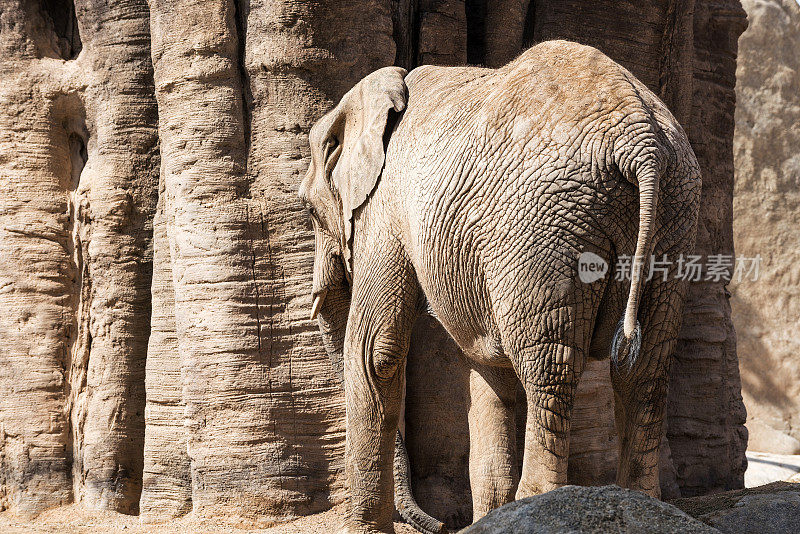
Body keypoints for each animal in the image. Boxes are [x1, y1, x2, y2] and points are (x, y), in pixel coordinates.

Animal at [300, 38, 700, 534]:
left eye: (309, 210)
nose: (441, 526)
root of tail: (639, 138)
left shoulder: (385, 205)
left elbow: (376, 352)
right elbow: (489, 367)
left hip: (545, 227)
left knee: (551, 366)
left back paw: (542, 502)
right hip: (673, 219)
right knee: (644, 367)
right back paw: (639, 502)